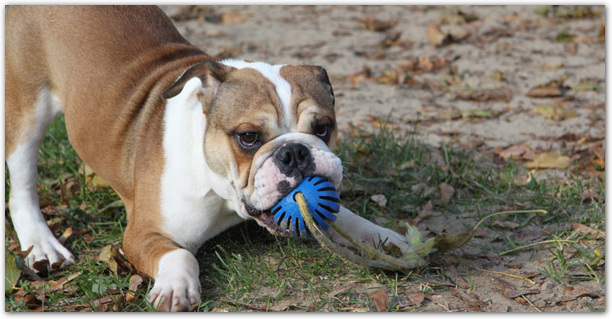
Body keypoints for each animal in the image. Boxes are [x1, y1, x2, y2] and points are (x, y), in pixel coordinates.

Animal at [4, 5, 414, 312]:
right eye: (248, 137)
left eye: (324, 128)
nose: (295, 152)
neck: (223, 194)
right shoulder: (142, 234)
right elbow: (182, 256)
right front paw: (176, 288)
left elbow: (345, 216)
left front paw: (388, 239)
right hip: (26, 108)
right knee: (21, 184)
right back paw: (42, 244)